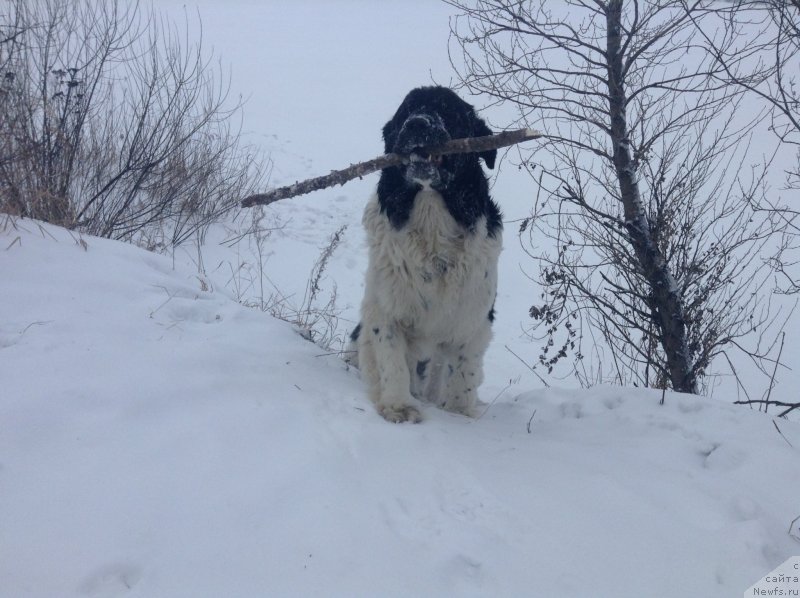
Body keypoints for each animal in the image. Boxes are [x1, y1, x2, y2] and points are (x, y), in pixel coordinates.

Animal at [348, 88, 500, 426]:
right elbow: (392, 358)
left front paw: (458, 414)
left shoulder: (474, 317)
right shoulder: (384, 306)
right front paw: (398, 407)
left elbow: (463, 373)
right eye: (407, 110)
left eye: (449, 110)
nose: (417, 124)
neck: (431, 219)